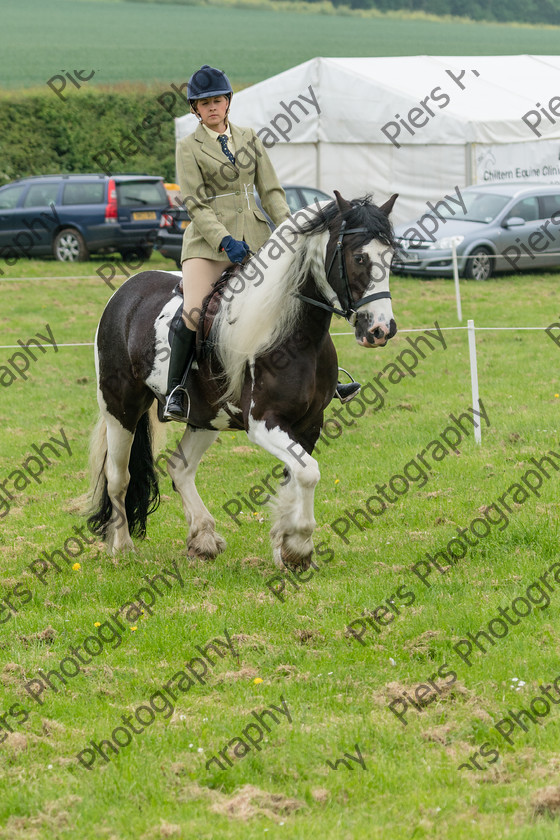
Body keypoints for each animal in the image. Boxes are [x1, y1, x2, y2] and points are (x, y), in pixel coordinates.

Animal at [87, 190, 398, 572]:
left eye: (391, 255)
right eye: (359, 257)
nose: (380, 329)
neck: (296, 335)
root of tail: (127, 291)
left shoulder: (309, 422)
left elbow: (297, 474)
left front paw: (287, 548)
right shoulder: (263, 422)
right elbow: (308, 472)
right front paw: (299, 546)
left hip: (206, 416)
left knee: (180, 468)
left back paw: (203, 538)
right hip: (121, 407)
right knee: (119, 476)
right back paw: (122, 547)